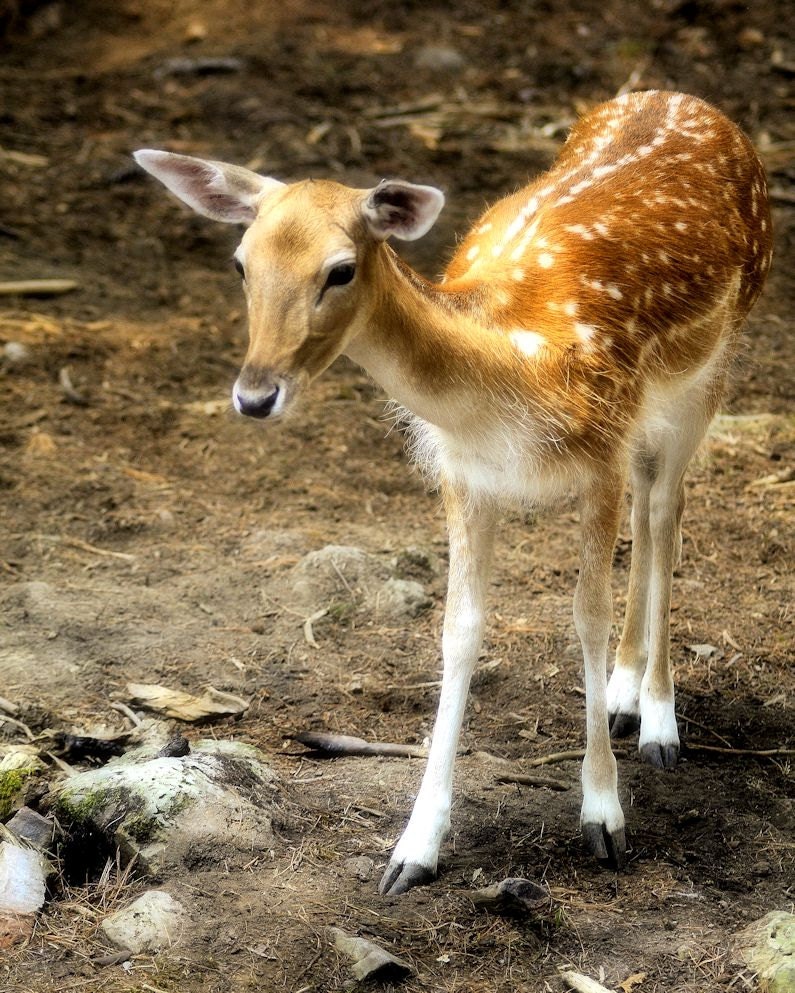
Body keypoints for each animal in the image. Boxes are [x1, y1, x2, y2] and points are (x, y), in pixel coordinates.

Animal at [134, 89, 772, 896]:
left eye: (340, 269)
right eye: (241, 263)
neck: (507, 374)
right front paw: (414, 848)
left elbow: (584, 616)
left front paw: (603, 817)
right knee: (651, 503)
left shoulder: (598, 453)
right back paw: (626, 695)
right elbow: (458, 630)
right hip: (647, 416)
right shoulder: (465, 473)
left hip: (713, 367)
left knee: (665, 517)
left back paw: (657, 720)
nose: (254, 395)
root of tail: (683, 97)